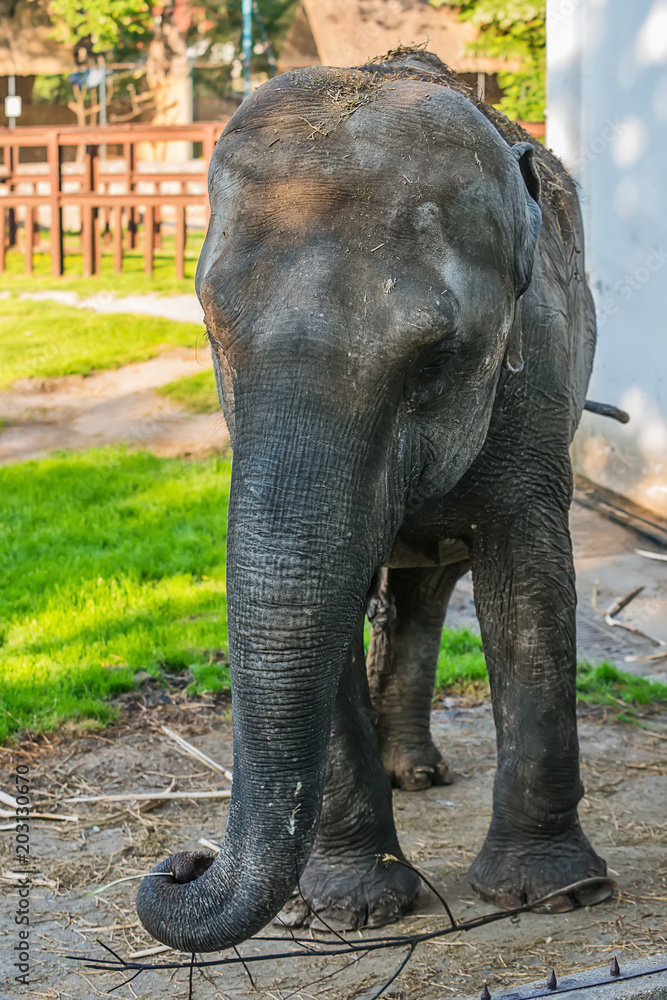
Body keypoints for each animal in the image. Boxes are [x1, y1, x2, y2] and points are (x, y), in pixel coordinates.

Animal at [136, 48, 613, 954]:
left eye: (436, 357)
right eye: (214, 336)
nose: (182, 862)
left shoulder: (537, 374)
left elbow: (528, 587)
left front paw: (554, 896)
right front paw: (345, 912)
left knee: (430, 590)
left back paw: (417, 773)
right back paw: (404, 778)